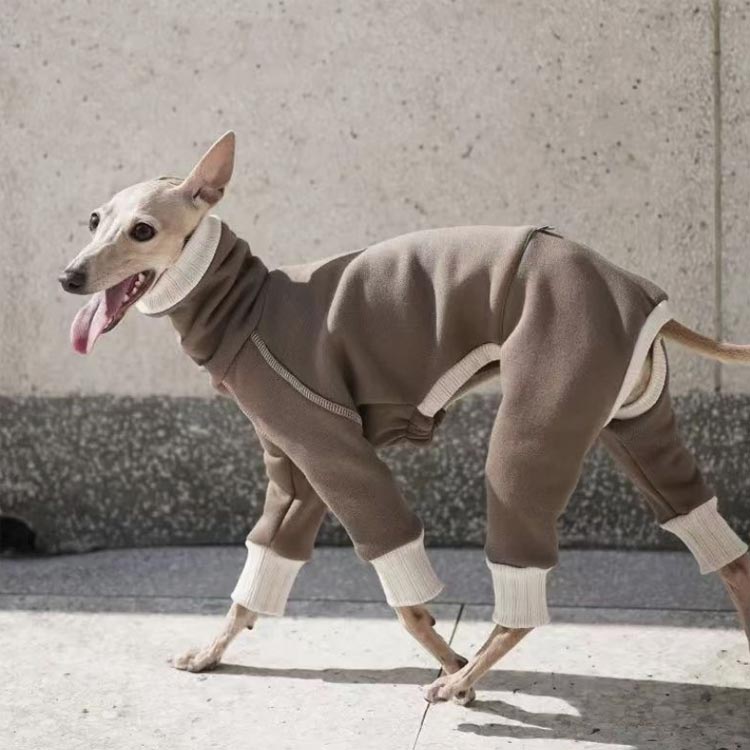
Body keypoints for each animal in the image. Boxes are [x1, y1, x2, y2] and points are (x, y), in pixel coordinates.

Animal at [60, 132, 750, 705]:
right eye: (94, 220)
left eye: (142, 231)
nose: (69, 276)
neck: (245, 306)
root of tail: (635, 291)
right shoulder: (296, 472)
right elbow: (260, 569)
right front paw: (210, 653)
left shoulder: (337, 453)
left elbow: (405, 596)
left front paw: (450, 661)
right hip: (635, 424)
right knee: (724, 549)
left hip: (534, 424)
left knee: (522, 601)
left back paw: (463, 679)